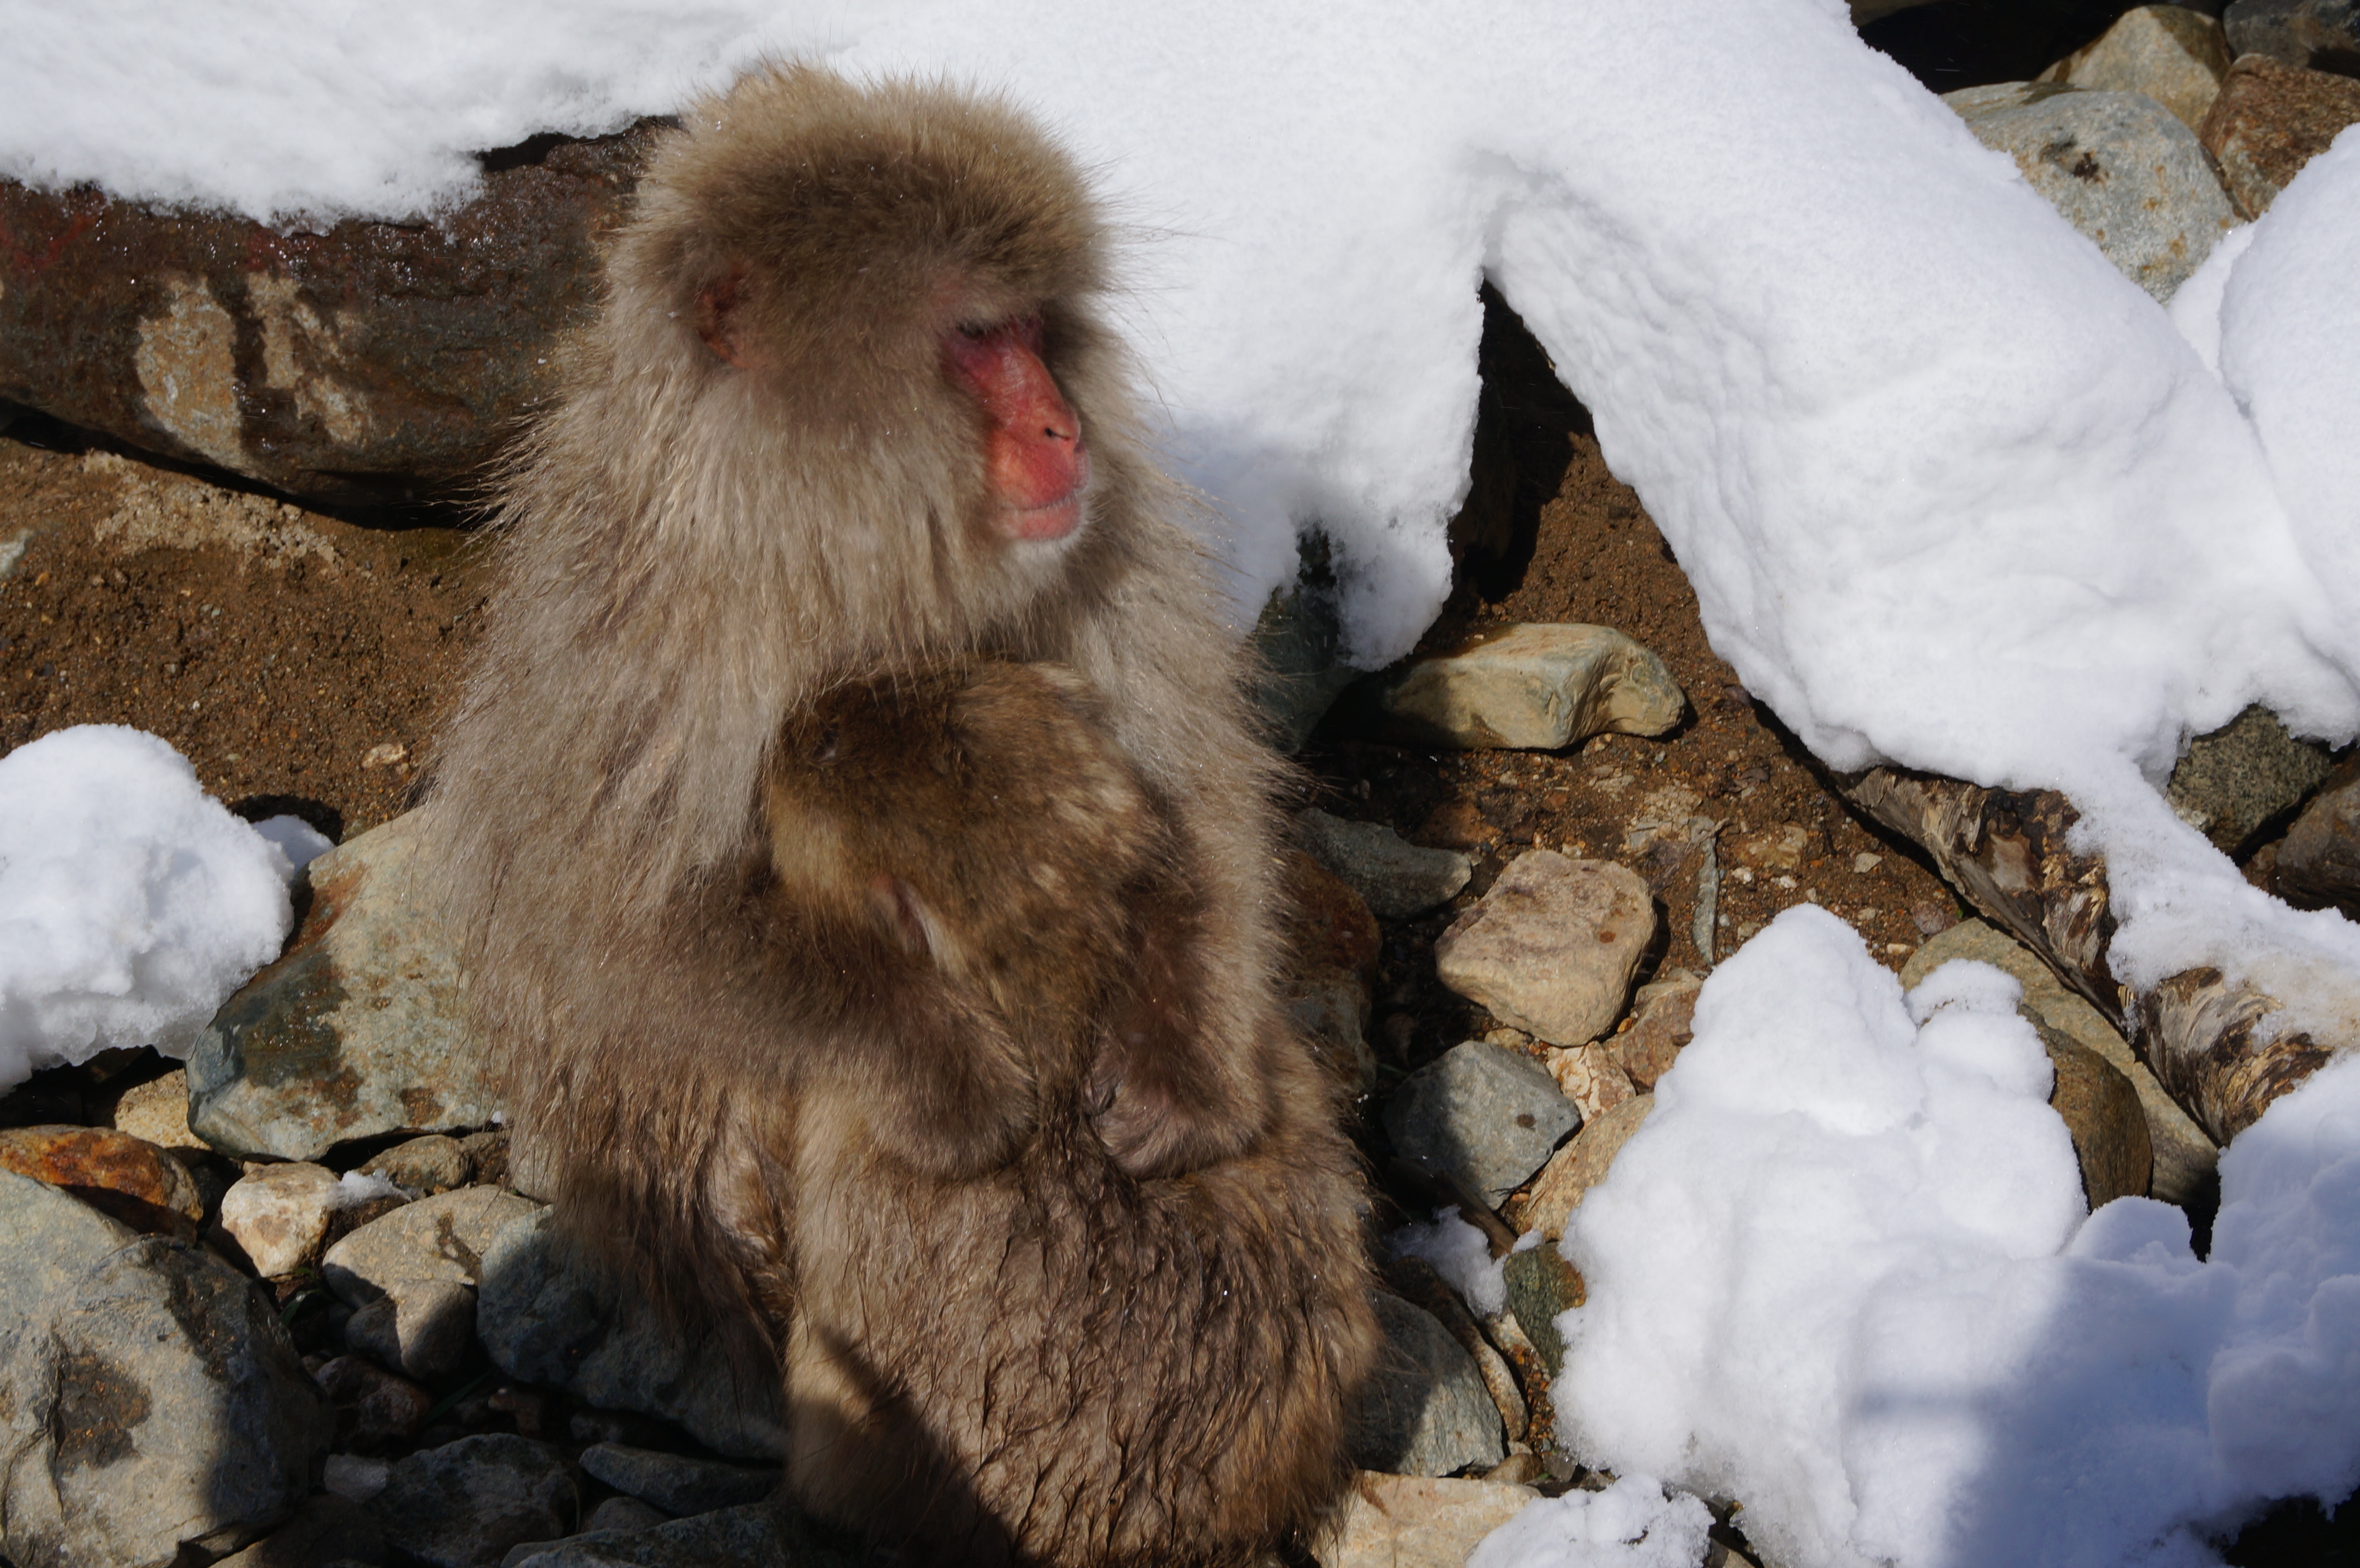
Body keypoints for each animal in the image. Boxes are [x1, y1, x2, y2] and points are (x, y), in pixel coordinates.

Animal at [426, 62, 1379, 1566]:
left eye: (1041, 333)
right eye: (979, 340)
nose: (1060, 427)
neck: (842, 539)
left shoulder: (1103, 544)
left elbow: (1189, 795)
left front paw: (1182, 1082)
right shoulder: (643, 634)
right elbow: (608, 934)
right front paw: (946, 1067)